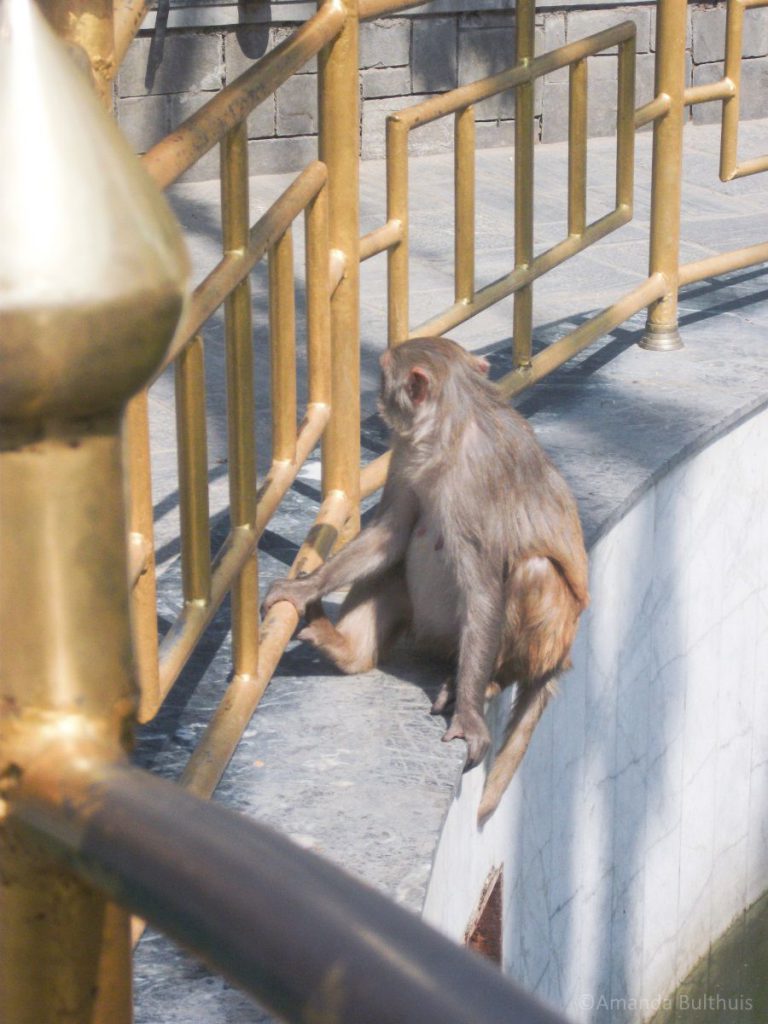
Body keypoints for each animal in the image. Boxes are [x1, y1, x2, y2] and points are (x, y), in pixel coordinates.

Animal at [264, 339, 589, 819]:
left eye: (384, 373)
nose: (378, 398)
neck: (451, 424)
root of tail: (561, 661)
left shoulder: (474, 483)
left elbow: (483, 589)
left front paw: (469, 715)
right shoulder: (405, 453)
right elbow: (390, 534)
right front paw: (302, 587)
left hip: (541, 641)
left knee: (533, 571)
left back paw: (488, 679)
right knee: (399, 558)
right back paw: (346, 649)